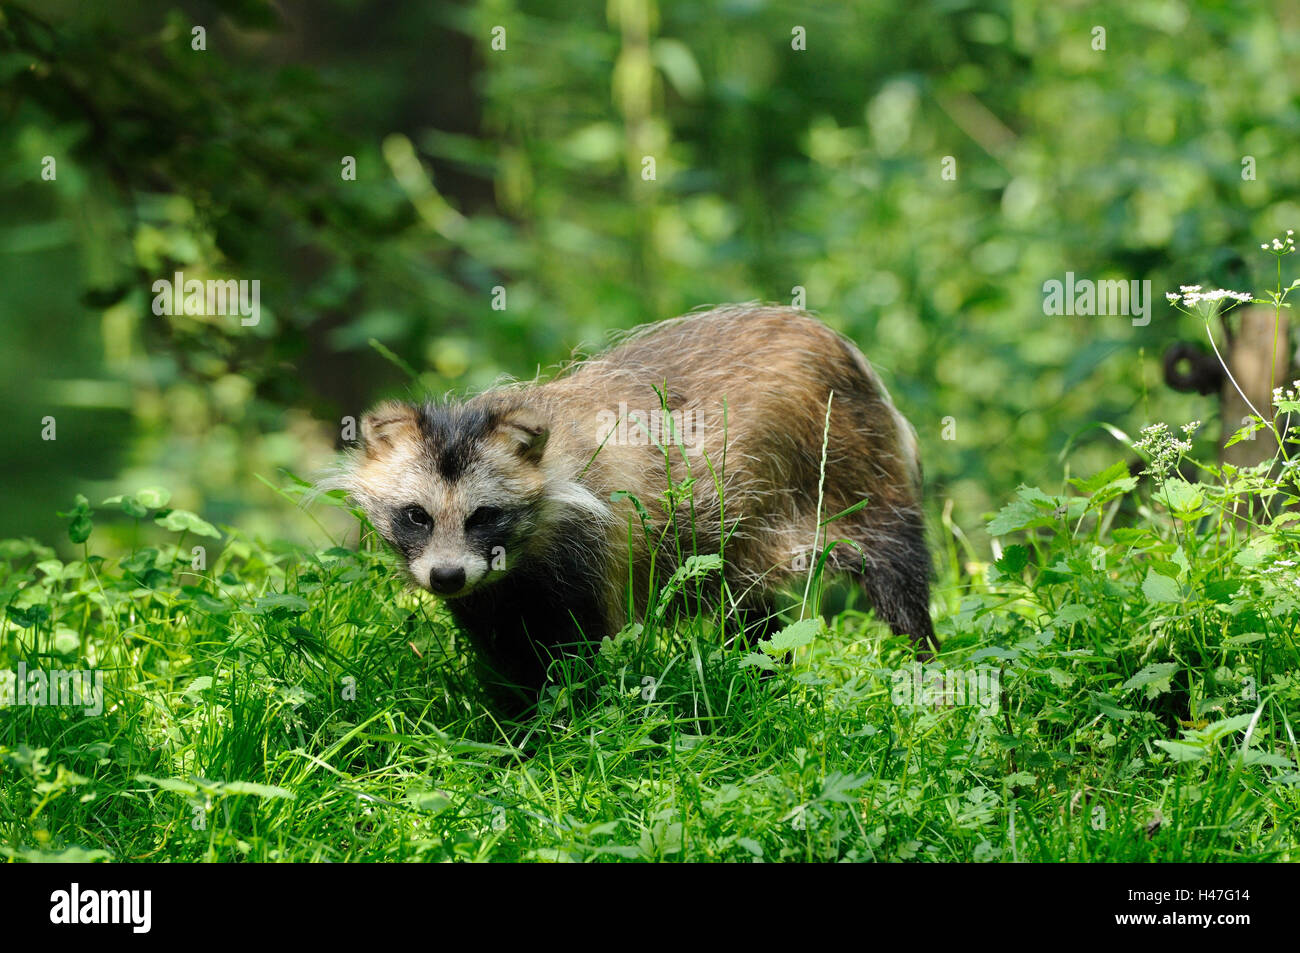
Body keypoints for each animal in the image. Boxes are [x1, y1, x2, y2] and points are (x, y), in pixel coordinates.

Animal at [325, 306, 935, 707]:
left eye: (484, 515)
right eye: (417, 515)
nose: (447, 576)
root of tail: (832, 337)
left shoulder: (597, 551)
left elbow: (581, 656)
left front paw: (563, 731)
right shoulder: (491, 596)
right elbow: (509, 660)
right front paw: (515, 730)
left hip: (851, 466)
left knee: (895, 566)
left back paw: (923, 660)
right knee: (755, 615)